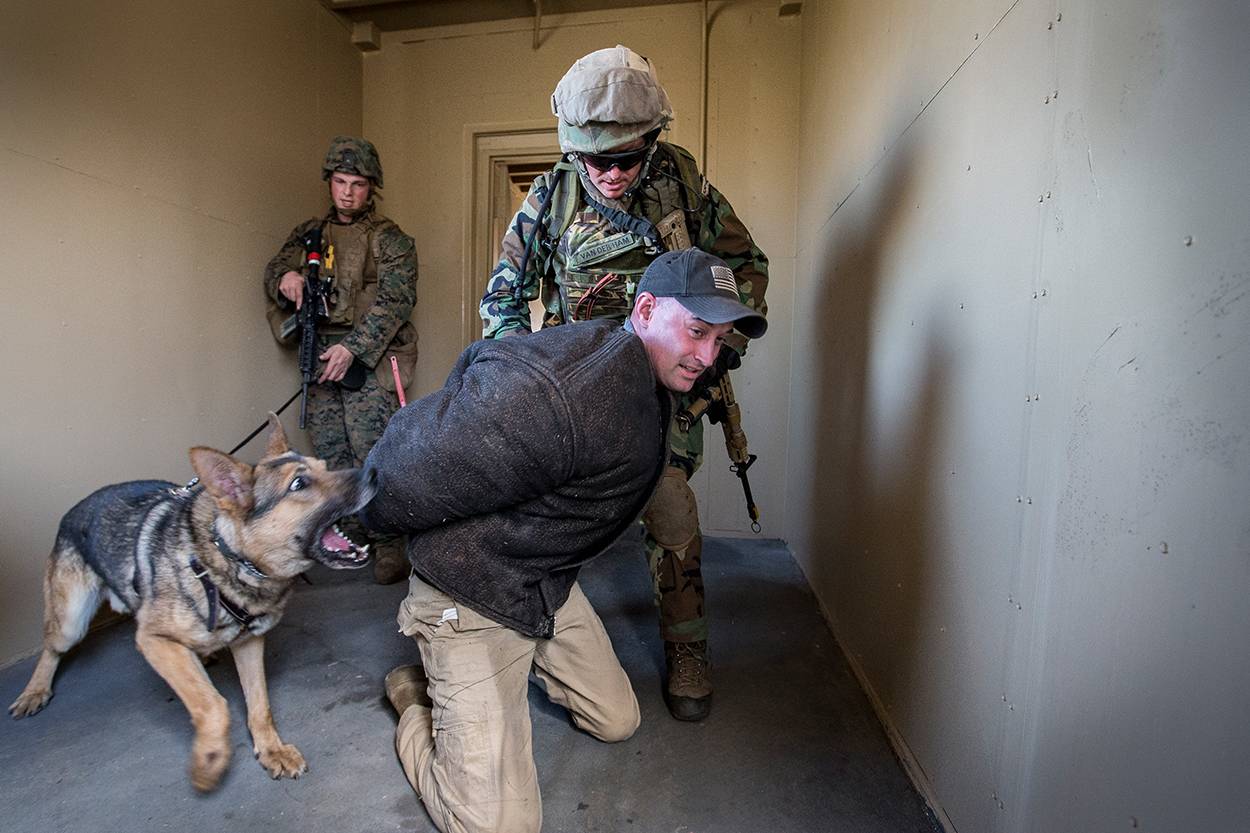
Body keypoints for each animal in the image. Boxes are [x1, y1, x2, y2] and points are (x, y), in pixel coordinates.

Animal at [8, 414, 377, 792]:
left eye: (325, 466)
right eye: (299, 484)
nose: (374, 471)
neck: (226, 558)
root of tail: (74, 508)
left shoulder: (249, 643)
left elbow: (260, 705)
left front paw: (271, 749)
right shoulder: (154, 641)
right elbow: (213, 704)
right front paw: (209, 758)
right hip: (71, 621)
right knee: (52, 647)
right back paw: (34, 691)